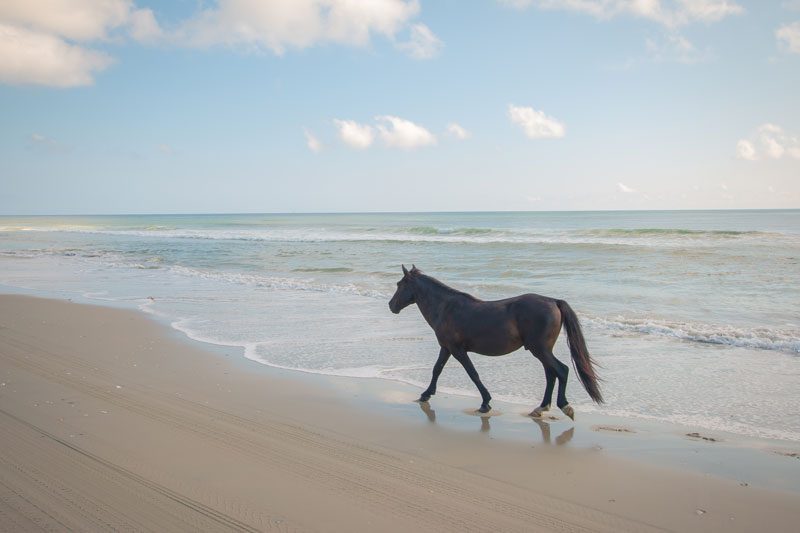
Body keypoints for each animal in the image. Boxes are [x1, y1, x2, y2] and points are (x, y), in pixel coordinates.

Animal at [386, 264, 600, 418]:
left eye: (399, 284)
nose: (391, 305)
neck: (446, 308)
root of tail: (553, 301)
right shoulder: (446, 348)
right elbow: (436, 369)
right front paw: (426, 394)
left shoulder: (457, 350)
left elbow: (473, 374)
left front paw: (485, 403)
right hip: (542, 350)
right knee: (551, 374)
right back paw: (540, 408)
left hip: (540, 349)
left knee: (561, 371)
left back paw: (563, 406)